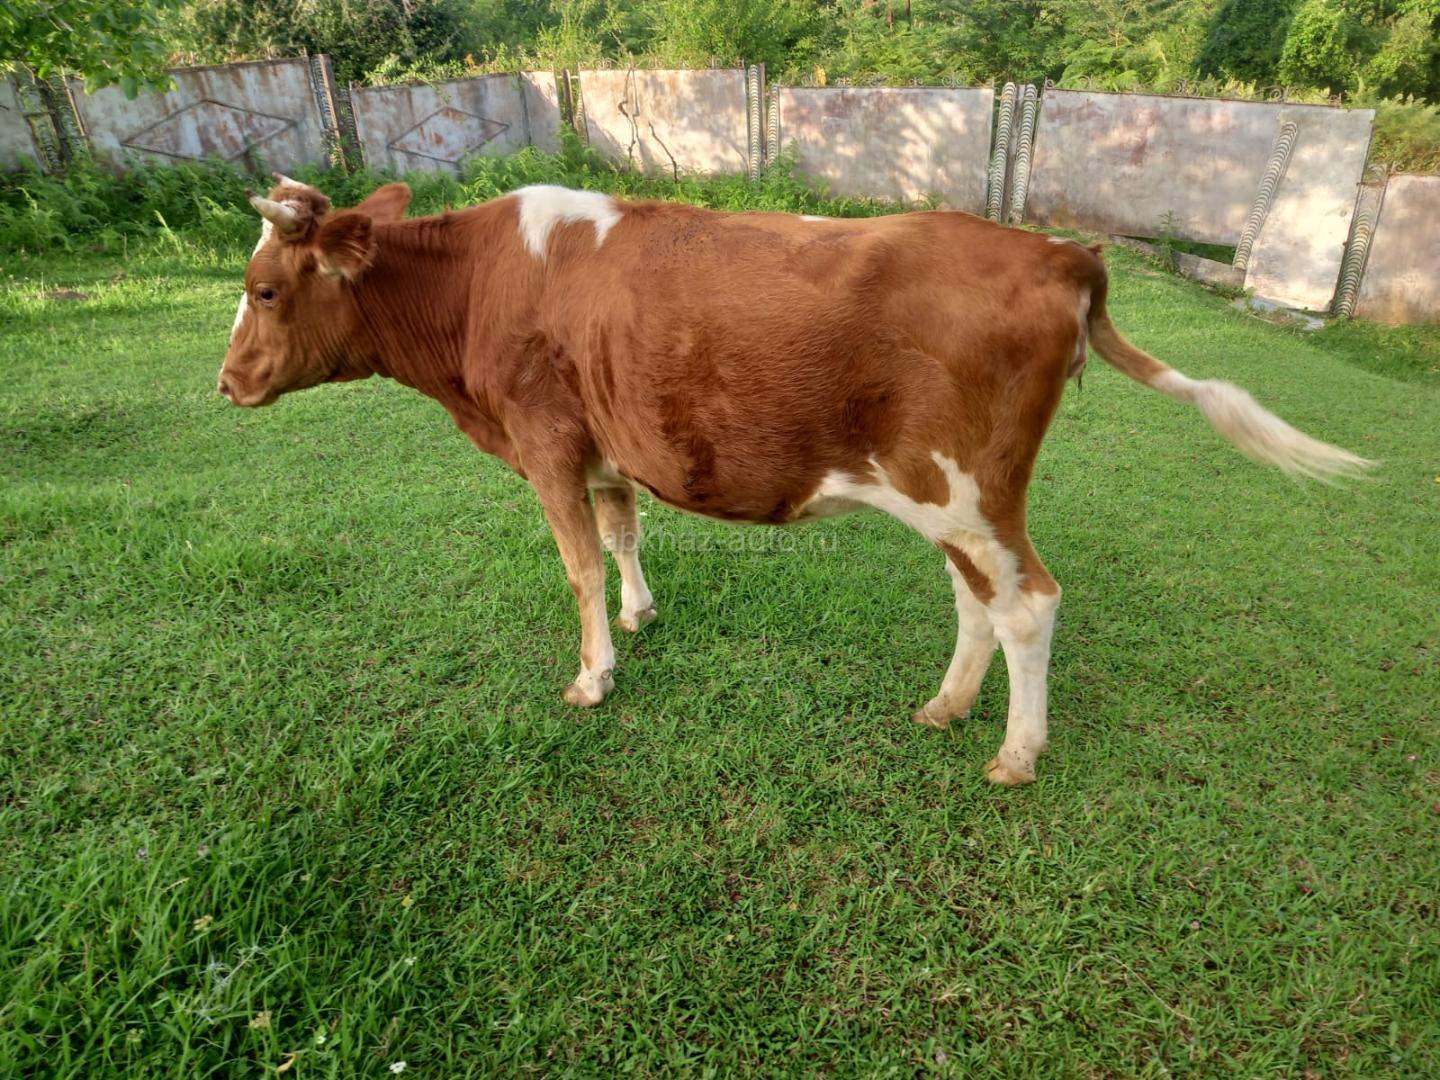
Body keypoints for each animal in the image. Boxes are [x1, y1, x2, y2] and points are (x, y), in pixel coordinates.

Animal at [220, 174, 1370, 785]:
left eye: (266, 288)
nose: (226, 382)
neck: (474, 289)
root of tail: (1055, 252)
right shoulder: (602, 444)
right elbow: (624, 533)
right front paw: (640, 615)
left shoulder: (542, 443)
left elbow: (576, 566)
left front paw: (593, 674)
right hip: (946, 499)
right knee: (977, 599)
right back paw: (948, 708)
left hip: (970, 489)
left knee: (1030, 602)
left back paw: (1016, 751)